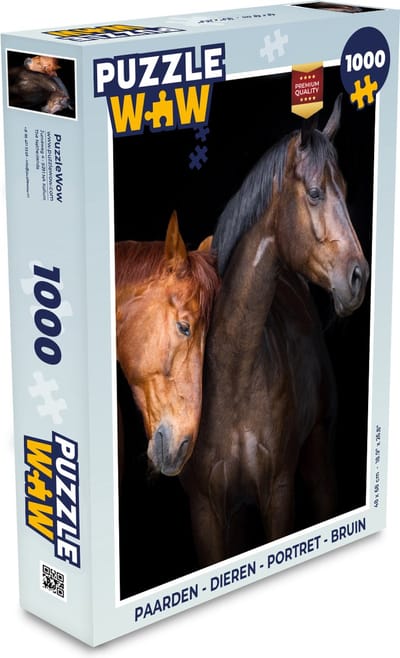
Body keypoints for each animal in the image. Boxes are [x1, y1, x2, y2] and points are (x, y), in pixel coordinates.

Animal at [181, 96, 370, 566]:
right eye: (316, 193)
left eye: (345, 191)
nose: (358, 277)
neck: (234, 372)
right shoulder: (207, 510)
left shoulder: (279, 493)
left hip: (318, 461)